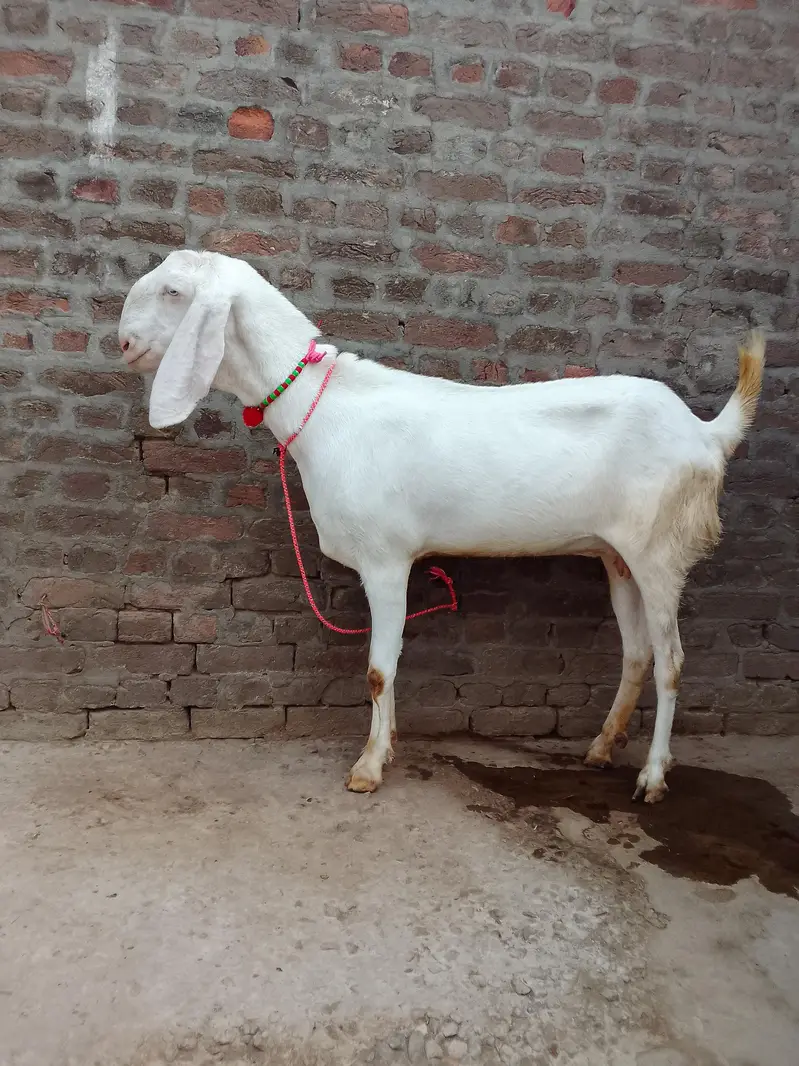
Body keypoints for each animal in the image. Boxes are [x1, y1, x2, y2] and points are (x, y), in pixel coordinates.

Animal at [118, 249, 765, 803]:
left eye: (174, 292)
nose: (123, 343)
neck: (325, 410)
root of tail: (706, 432)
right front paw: (386, 748)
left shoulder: (385, 560)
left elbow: (379, 670)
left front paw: (368, 767)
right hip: (619, 555)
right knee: (637, 654)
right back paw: (602, 748)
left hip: (660, 551)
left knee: (672, 659)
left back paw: (653, 778)